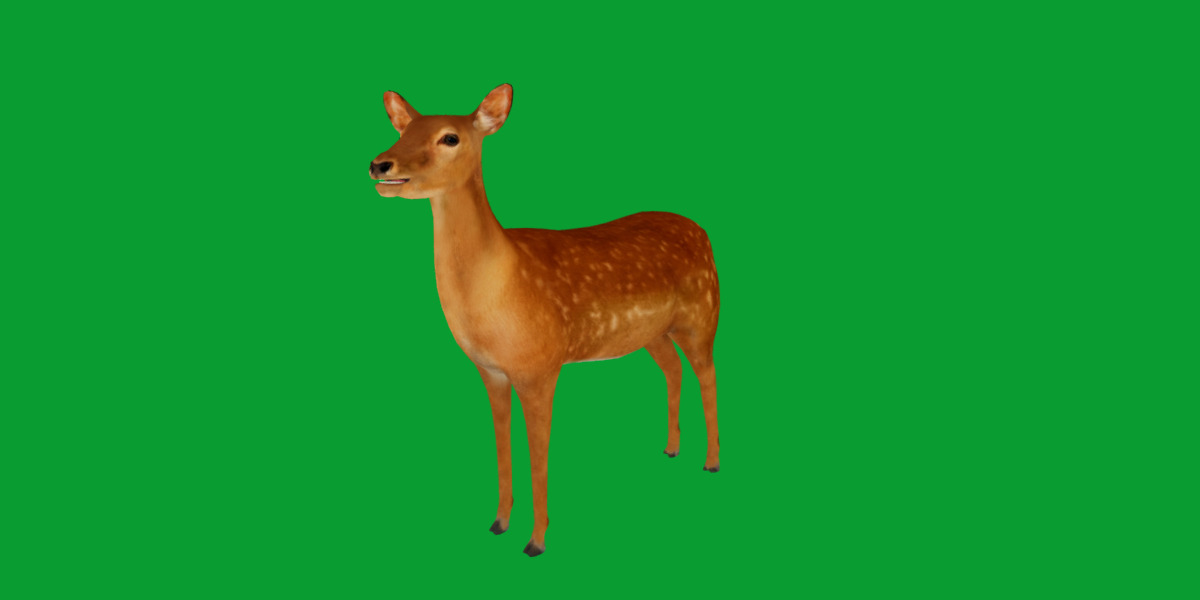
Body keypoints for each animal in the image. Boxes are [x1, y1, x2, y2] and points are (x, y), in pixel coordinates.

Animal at [368, 84, 720, 557]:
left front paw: (536, 541)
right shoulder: (491, 370)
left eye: (450, 137)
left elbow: (539, 453)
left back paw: (711, 461)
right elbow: (502, 444)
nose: (380, 163)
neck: (504, 283)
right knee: (673, 368)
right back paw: (670, 449)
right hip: (651, 333)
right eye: (403, 130)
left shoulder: (541, 365)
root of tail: (703, 232)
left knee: (708, 374)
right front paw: (498, 522)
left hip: (702, 315)